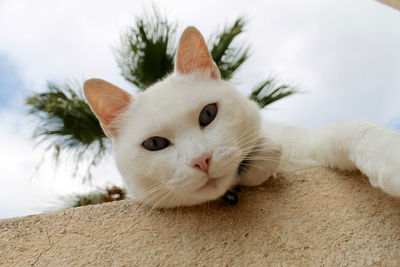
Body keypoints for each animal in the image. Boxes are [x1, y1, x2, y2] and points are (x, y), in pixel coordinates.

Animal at [83, 26, 398, 208]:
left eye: (208, 114)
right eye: (155, 144)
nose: (201, 160)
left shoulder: (312, 140)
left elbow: (355, 131)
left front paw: (391, 162)